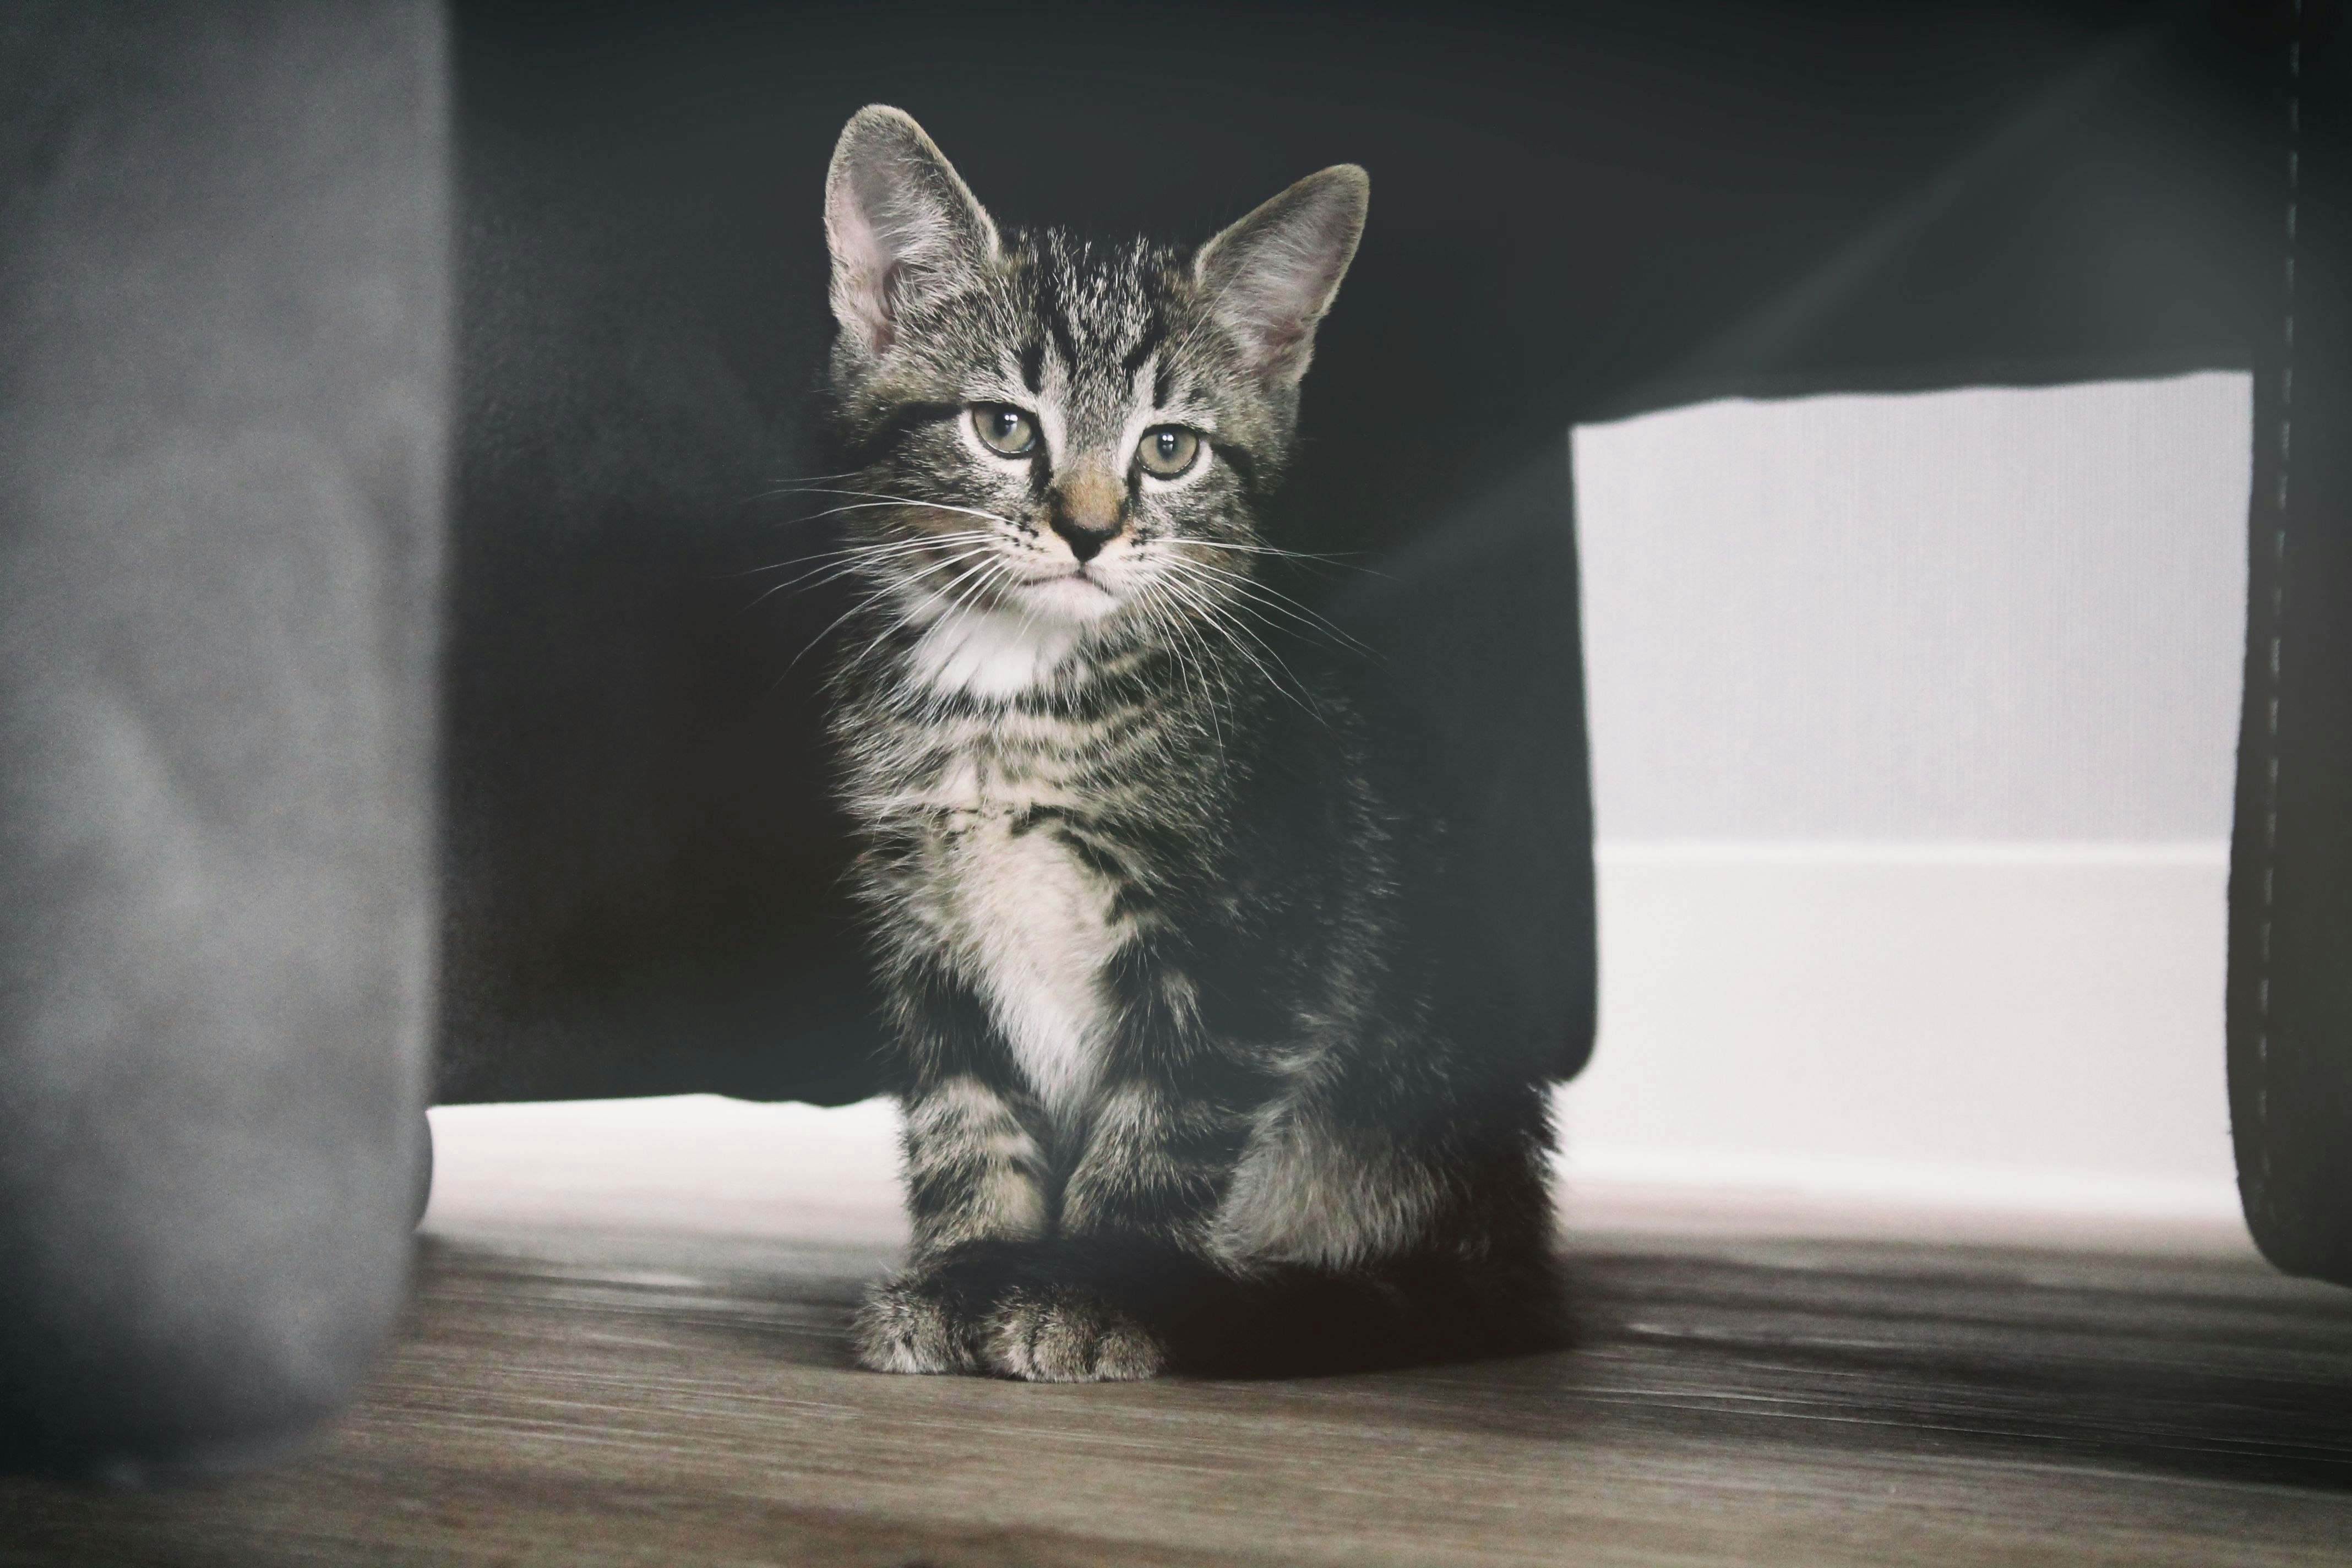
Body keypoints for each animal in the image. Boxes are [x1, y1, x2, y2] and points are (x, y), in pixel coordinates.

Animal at [818, 107, 1552, 1382]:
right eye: (1003, 426)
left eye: (1169, 448)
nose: (1087, 528)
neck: (1017, 699)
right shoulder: (924, 936)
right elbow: (966, 1118)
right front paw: (967, 1268)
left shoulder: (1252, 939)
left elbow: (1159, 1131)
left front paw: (1098, 1288)